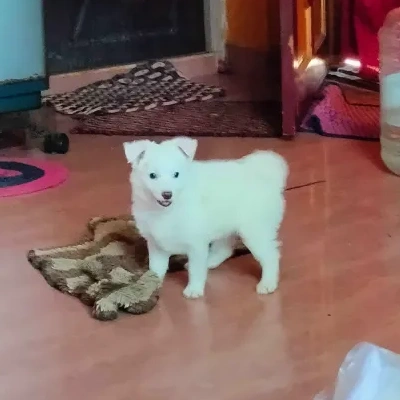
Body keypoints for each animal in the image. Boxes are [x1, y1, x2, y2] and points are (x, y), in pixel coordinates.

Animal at [124, 137, 288, 296]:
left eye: (176, 174)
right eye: (152, 175)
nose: (167, 194)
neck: (165, 211)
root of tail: (264, 176)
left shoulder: (196, 243)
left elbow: (196, 269)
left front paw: (194, 289)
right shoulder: (156, 245)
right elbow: (155, 269)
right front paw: (151, 286)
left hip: (254, 231)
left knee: (270, 255)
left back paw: (267, 283)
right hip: (225, 225)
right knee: (225, 249)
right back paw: (210, 262)